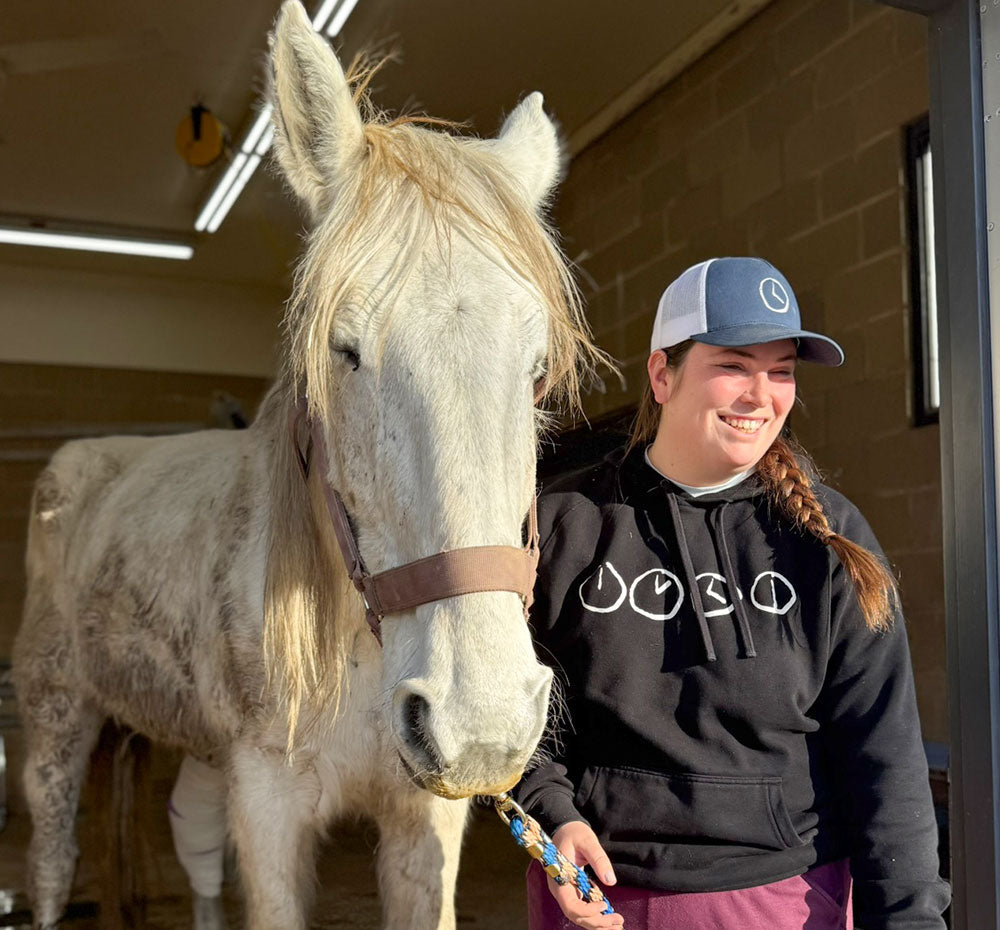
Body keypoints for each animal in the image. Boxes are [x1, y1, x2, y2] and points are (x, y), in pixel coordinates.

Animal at [11, 2, 603, 927]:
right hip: (56, 718)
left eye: (537, 368)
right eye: (343, 349)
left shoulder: (422, 824)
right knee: (52, 858)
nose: (482, 721)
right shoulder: (267, 808)